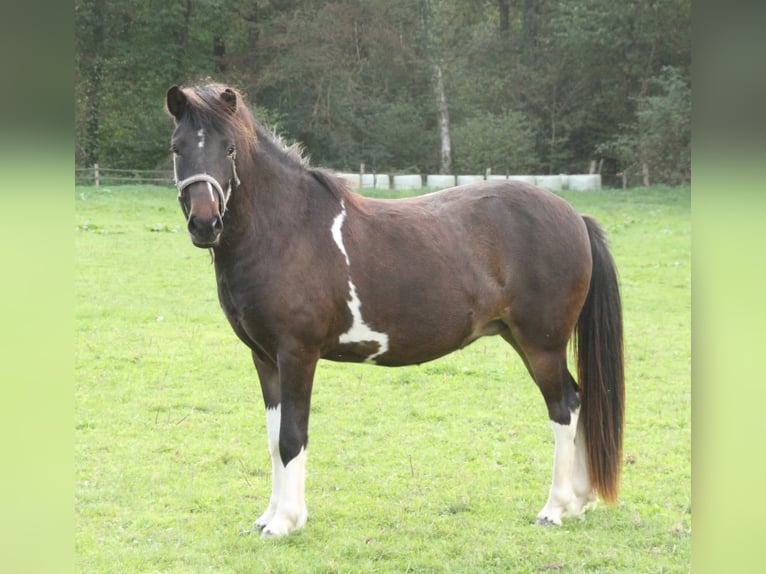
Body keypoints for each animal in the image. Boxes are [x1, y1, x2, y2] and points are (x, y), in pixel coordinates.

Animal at [165, 82, 624, 537]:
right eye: (177, 147)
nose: (205, 224)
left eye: (229, 148)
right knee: (578, 400)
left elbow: (292, 437)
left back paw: (556, 508)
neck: (286, 230)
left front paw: (285, 522)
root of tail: (574, 216)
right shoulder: (265, 358)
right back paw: (579, 502)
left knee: (565, 407)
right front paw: (269, 516)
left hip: (541, 345)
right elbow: (275, 439)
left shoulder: (297, 353)